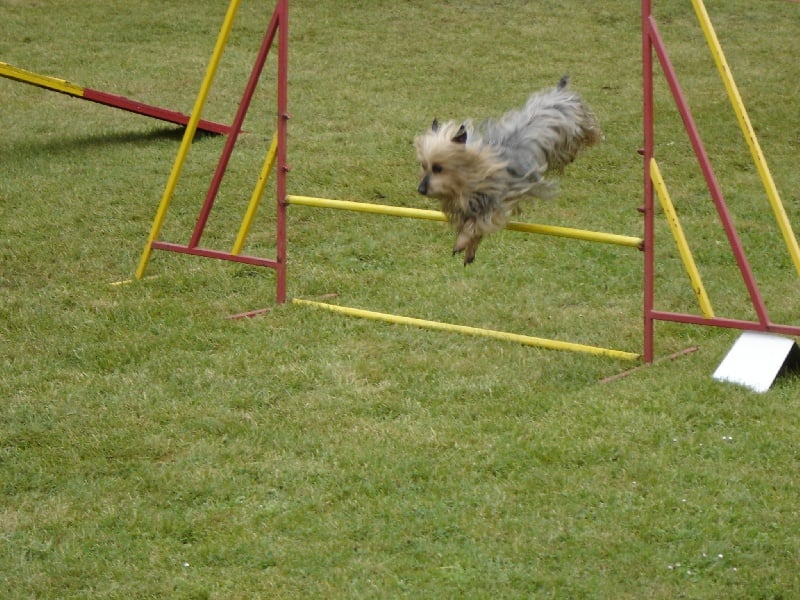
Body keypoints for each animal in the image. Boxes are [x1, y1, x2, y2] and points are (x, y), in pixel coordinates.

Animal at [414, 76, 601, 264]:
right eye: (424, 166)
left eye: (438, 168)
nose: (421, 190)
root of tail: (558, 93)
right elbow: (472, 229)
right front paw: (468, 249)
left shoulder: (497, 201)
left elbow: (476, 225)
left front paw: (462, 242)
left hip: (574, 129)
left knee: (590, 130)